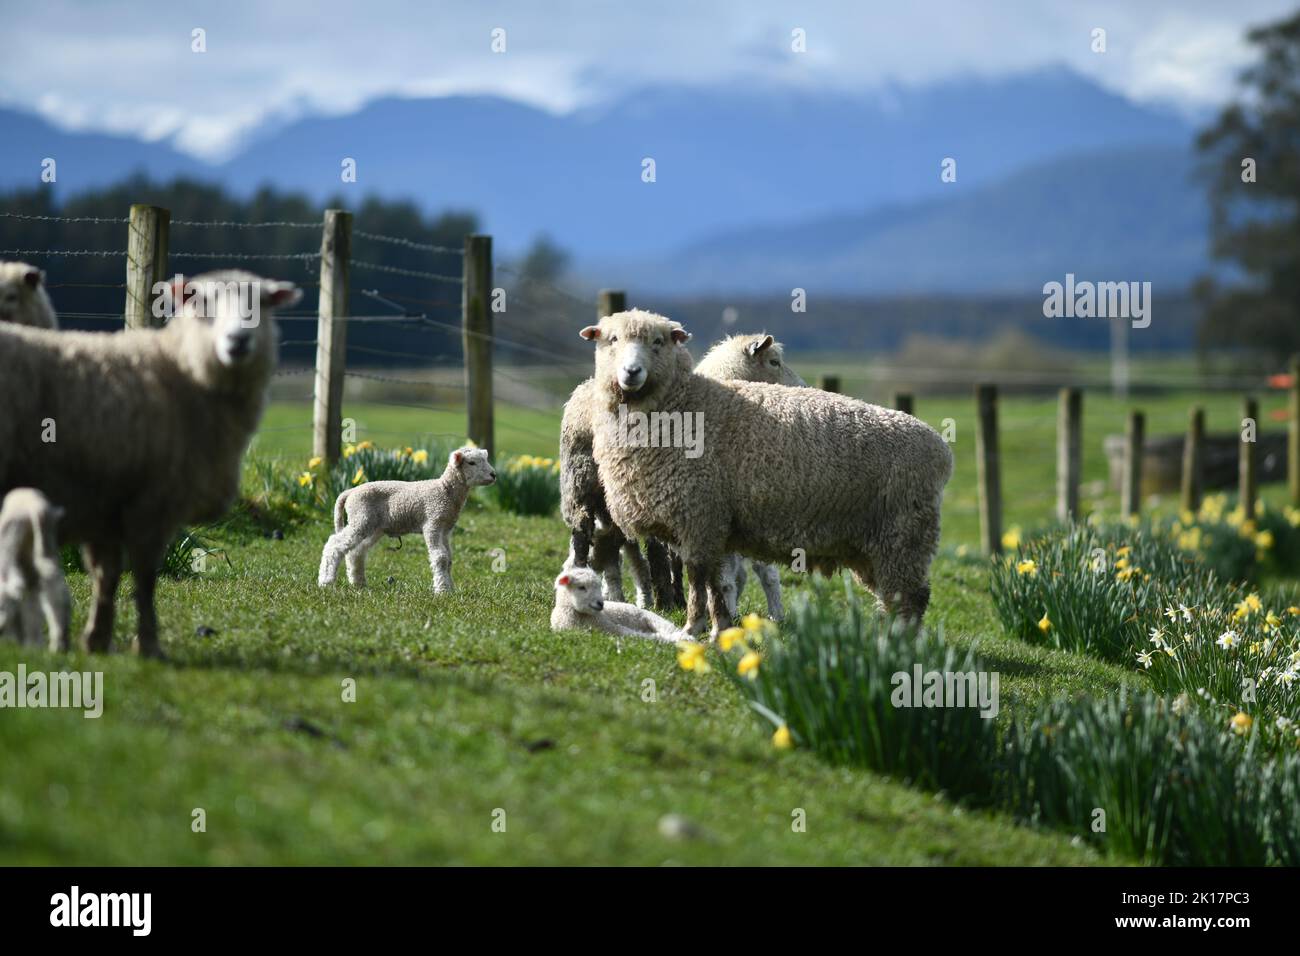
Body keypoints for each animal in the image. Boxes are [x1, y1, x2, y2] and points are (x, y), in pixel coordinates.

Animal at [317, 447, 493, 595]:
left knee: (356, 552)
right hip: (360, 518)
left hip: (373, 526)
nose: (494, 475)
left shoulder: (446, 529)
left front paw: (450, 589)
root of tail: (349, 492)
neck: (445, 490)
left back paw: (358, 584)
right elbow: (440, 557)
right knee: (334, 544)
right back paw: (326, 581)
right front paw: (442, 591)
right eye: (471, 462)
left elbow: (448, 559)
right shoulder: (432, 523)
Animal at [551, 567, 691, 642]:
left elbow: (634, 634)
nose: (600, 603)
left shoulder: (611, 627)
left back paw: (684, 638)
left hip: (654, 618)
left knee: (670, 628)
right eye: (581, 587)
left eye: (599, 586)